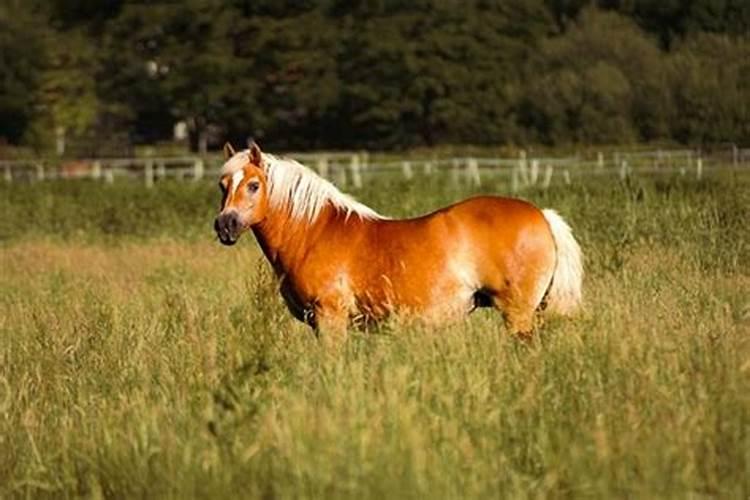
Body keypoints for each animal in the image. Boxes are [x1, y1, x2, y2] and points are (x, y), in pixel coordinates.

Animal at [214, 141, 584, 344]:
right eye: (222, 185)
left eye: (253, 186)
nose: (225, 226)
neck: (313, 232)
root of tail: (541, 215)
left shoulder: (330, 319)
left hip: (517, 314)